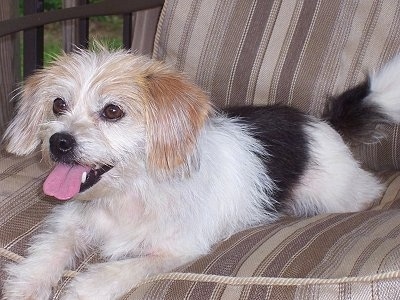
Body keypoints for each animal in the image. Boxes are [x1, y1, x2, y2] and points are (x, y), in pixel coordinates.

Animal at [2, 45, 400, 298]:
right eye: (58, 105)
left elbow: (128, 267)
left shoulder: (180, 249)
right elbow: (48, 252)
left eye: (113, 111)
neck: (129, 192)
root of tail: (321, 123)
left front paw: (87, 287)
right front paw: (25, 286)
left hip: (337, 194)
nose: (59, 142)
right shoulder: (69, 223)